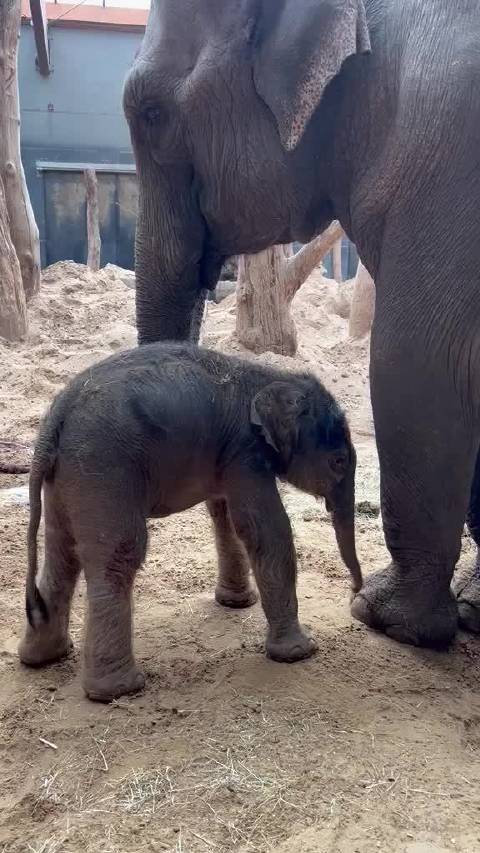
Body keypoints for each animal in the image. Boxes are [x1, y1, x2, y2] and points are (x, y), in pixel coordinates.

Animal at [19, 342, 361, 702]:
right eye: (339, 461)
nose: (354, 593)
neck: (270, 375)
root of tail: (54, 419)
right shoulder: (245, 451)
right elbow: (264, 529)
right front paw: (301, 652)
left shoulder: (227, 455)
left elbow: (225, 515)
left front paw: (237, 604)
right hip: (102, 468)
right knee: (117, 555)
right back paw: (119, 690)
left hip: (66, 475)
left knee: (61, 554)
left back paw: (43, 657)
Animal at [122, 0, 480, 648]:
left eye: (151, 114)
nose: (231, 601)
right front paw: (461, 611)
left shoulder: (447, 169)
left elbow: (415, 361)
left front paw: (385, 619)